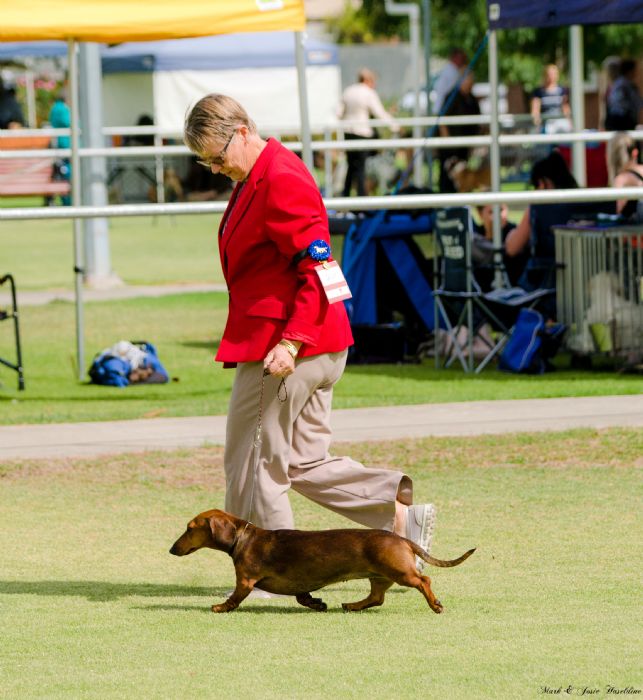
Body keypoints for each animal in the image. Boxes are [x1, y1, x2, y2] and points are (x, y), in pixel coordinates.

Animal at [170, 509, 475, 613]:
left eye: (189, 528)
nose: (172, 549)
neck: (245, 537)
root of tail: (401, 539)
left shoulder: (245, 581)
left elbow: (234, 598)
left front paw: (220, 607)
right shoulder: (298, 585)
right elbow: (303, 596)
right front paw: (318, 604)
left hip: (401, 573)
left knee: (424, 580)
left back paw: (435, 604)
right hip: (378, 577)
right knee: (376, 598)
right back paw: (352, 605)